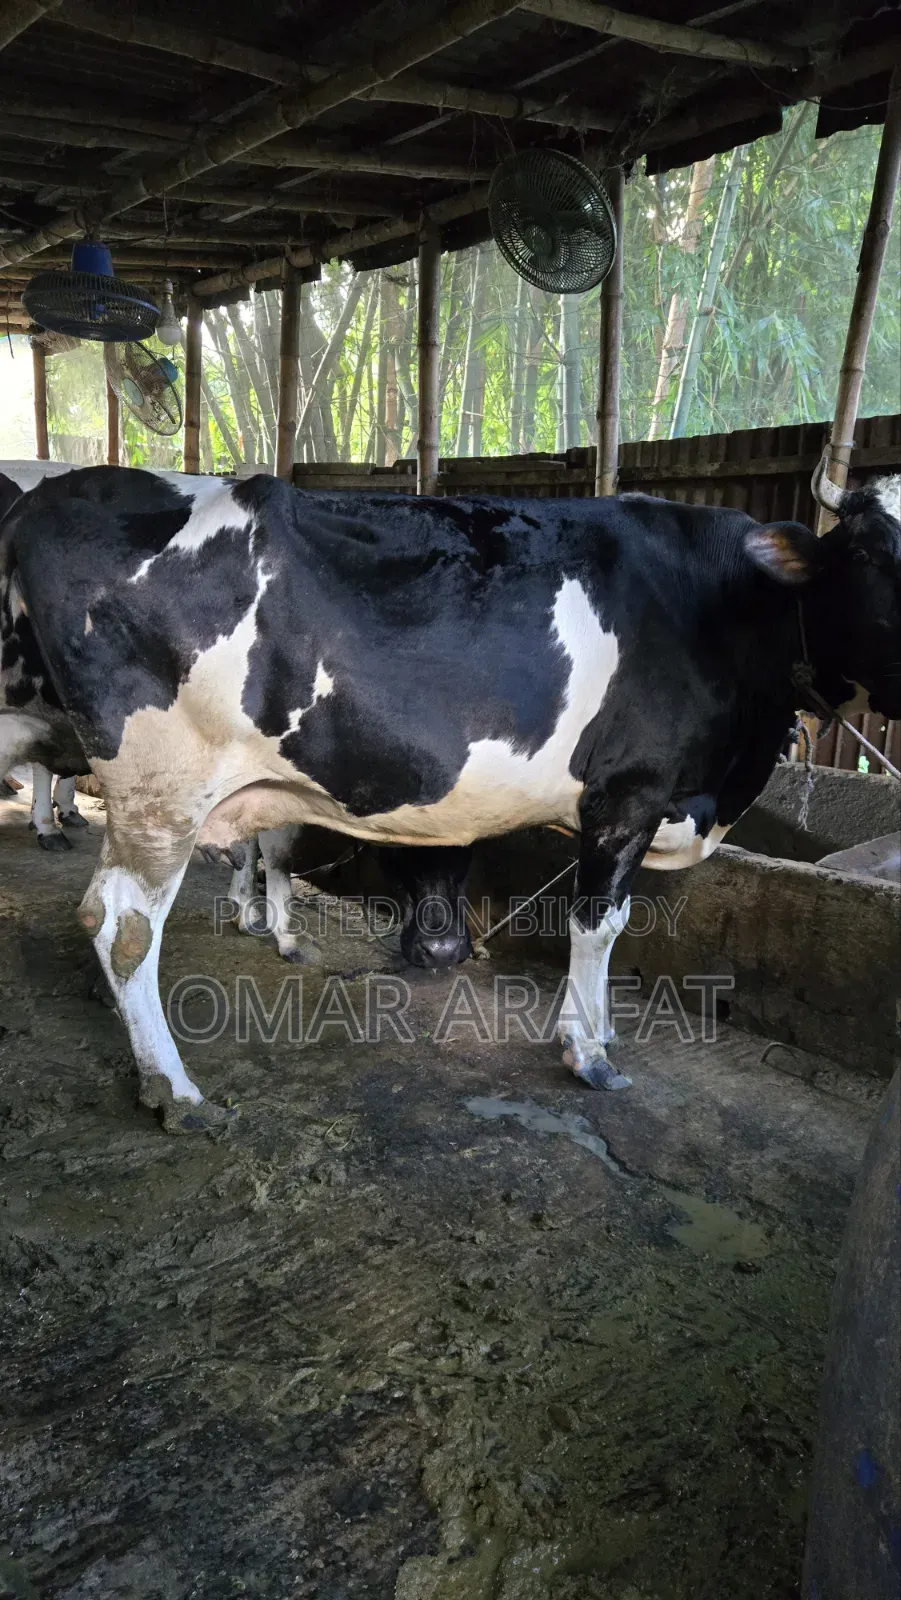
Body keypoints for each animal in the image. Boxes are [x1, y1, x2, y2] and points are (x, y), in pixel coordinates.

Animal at [0, 464, 897, 1133]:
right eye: (870, 552)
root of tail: (60, 490)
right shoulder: (626, 795)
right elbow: (598, 924)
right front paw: (589, 1052)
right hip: (163, 786)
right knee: (122, 923)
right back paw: (174, 1090)